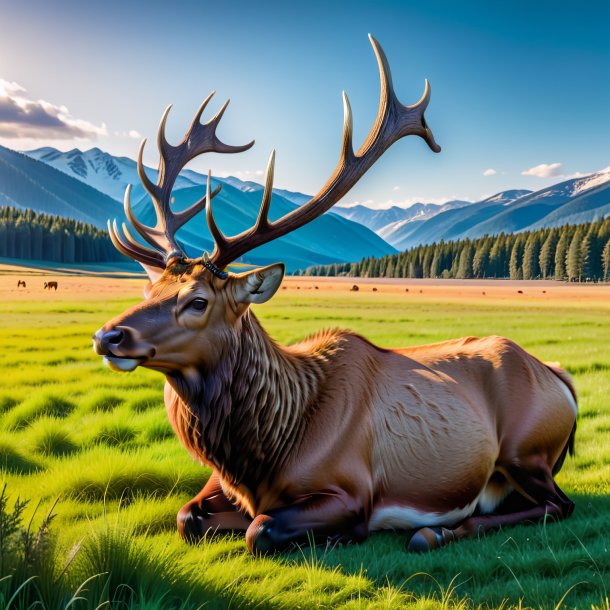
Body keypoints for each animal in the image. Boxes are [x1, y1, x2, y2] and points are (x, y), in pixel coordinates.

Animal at [91, 35, 576, 552]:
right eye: (149, 288)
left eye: (198, 301)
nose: (108, 336)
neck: (261, 457)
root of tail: (558, 377)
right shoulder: (217, 486)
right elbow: (187, 517)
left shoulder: (352, 492)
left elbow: (261, 529)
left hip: (527, 451)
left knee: (557, 505)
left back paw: (437, 531)